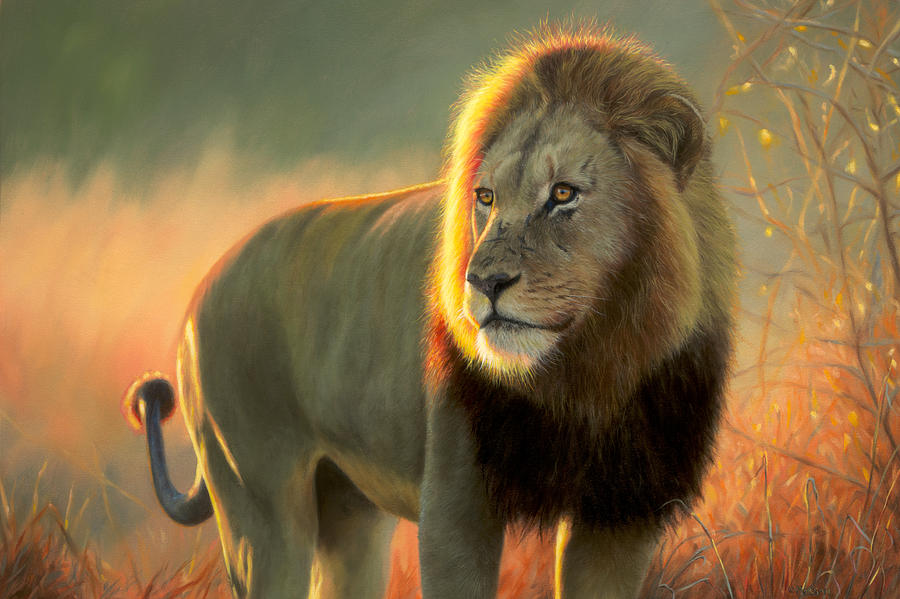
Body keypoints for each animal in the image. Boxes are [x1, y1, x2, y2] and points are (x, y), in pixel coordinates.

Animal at [125, 25, 736, 599]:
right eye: (486, 198)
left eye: (563, 193)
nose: (484, 282)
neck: (590, 370)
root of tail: (206, 283)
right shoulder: (455, 505)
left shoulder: (621, 518)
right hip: (260, 503)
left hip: (348, 508)